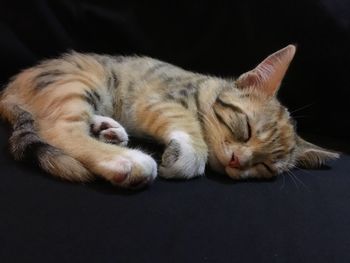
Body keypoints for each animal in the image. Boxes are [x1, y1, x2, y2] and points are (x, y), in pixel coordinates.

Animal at [0, 45, 340, 190]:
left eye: (265, 167)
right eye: (244, 128)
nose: (237, 161)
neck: (203, 88)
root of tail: (8, 90)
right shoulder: (159, 100)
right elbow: (192, 132)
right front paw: (188, 156)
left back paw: (108, 130)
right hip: (78, 83)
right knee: (59, 129)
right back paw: (127, 161)